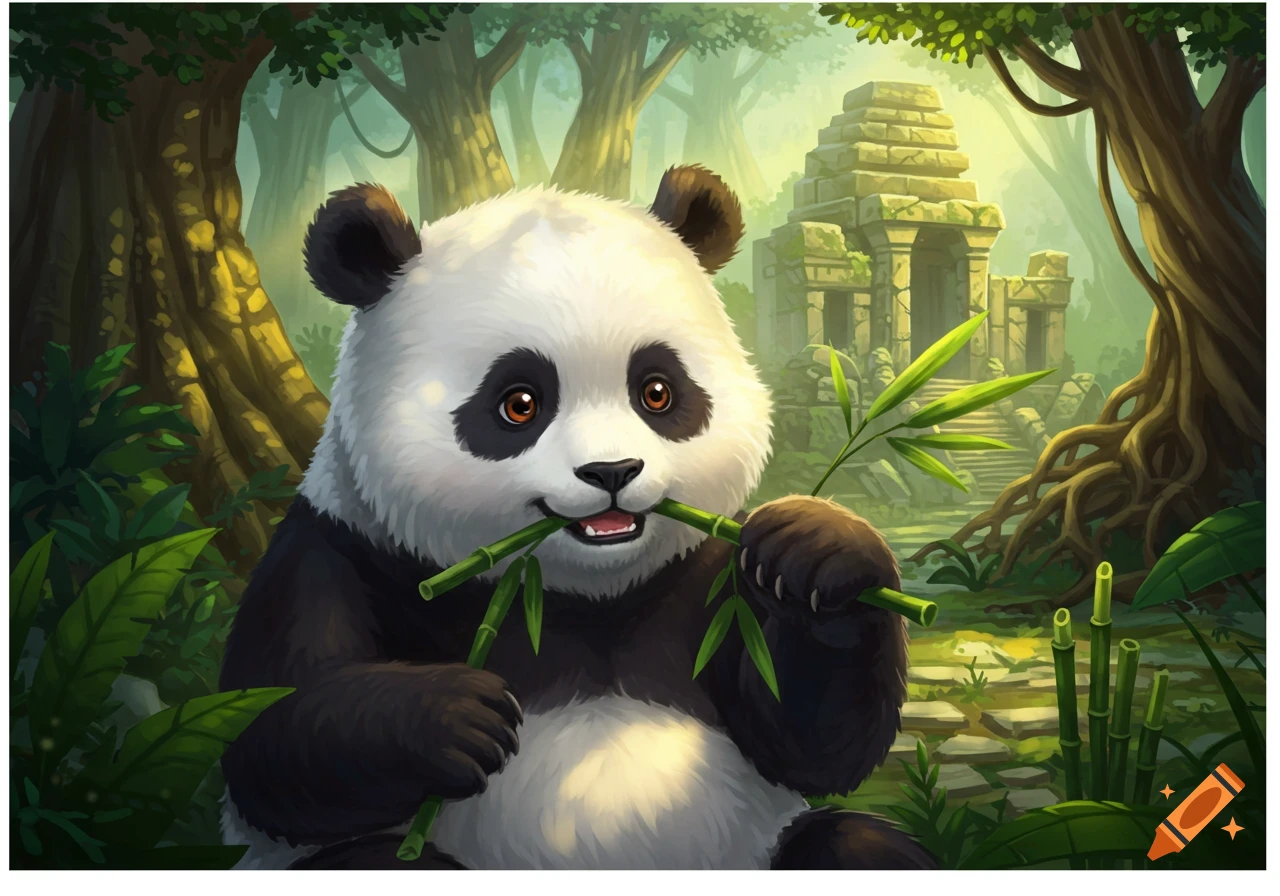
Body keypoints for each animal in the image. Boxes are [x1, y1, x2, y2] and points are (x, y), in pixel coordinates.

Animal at [218, 166, 931, 871]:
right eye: (519, 403)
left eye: (656, 391)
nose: (612, 471)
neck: (582, 593)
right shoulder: (341, 548)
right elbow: (269, 738)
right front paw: (454, 716)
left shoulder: (706, 572)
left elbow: (805, 739)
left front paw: (817, 549)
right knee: (377, 860)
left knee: (857, 846)